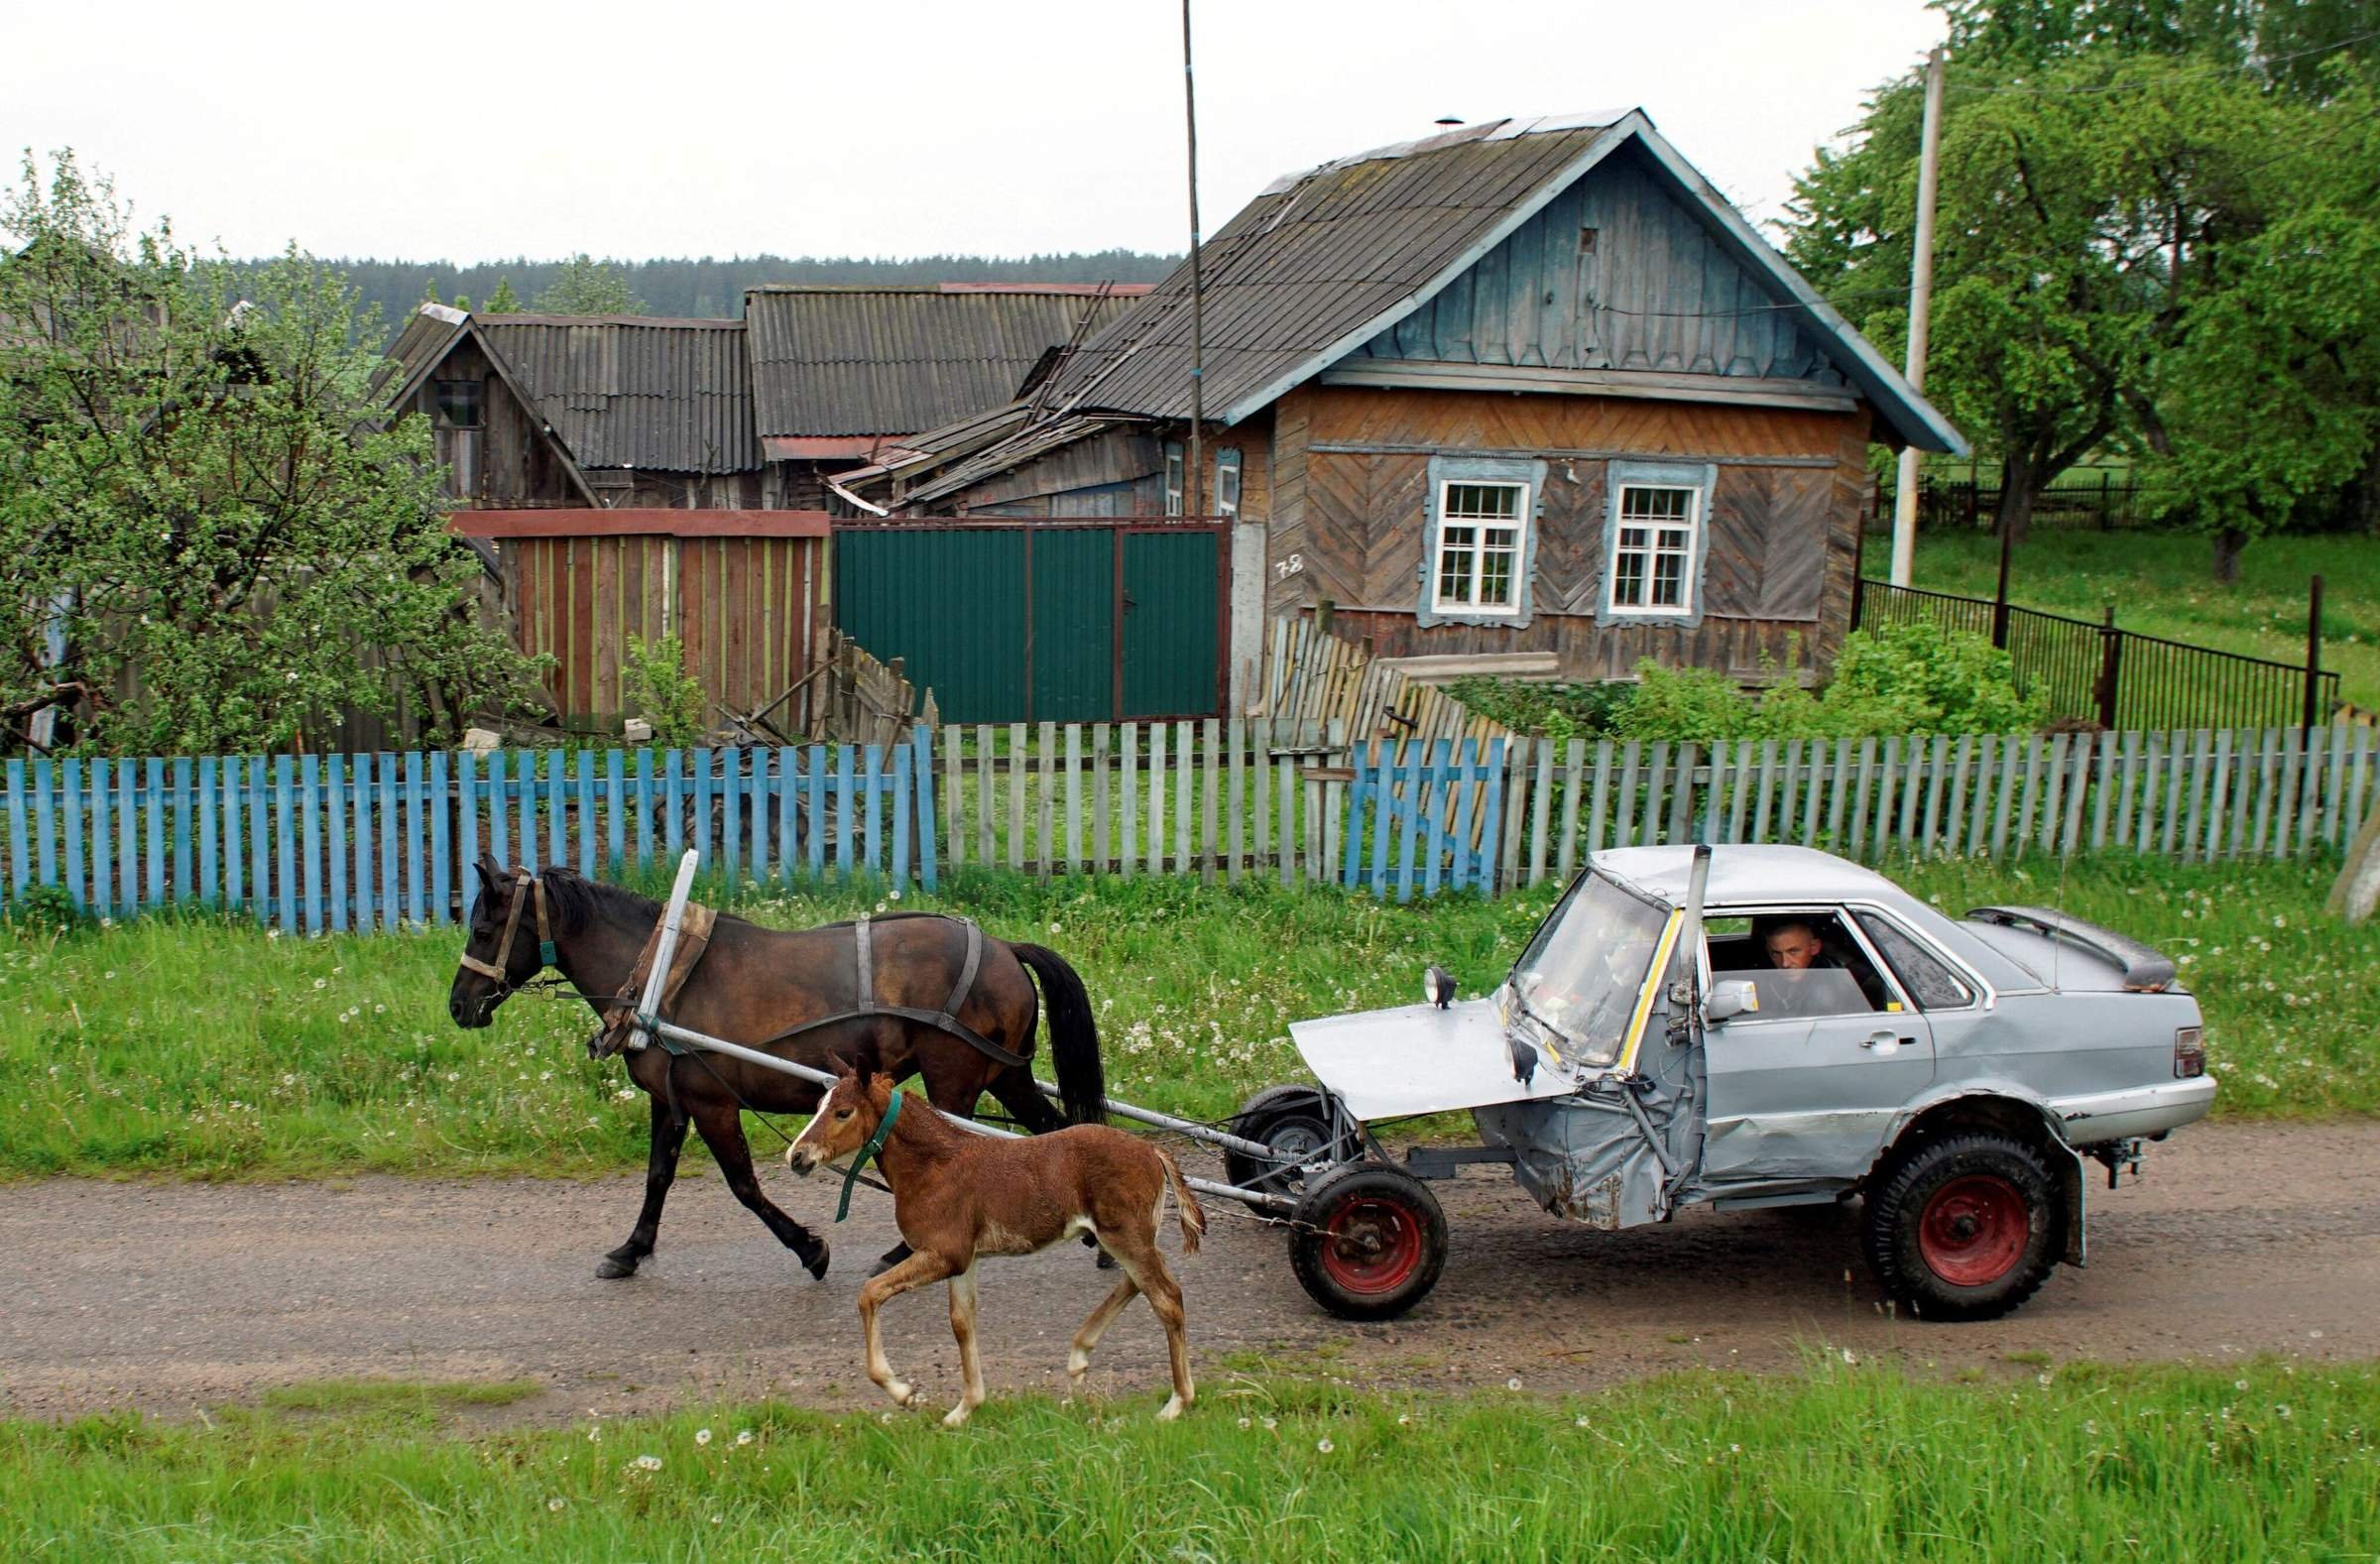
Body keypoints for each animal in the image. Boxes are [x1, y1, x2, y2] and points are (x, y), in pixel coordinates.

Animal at [447, 852, 1104, 1285]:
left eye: (481, 928)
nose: (458, 1006)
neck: (663, 972)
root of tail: (1003, 948)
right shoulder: (671, 1099)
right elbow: (657, 1177)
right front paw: (631, 1251)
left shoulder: (712, 1102)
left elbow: (743, 1185)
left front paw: (810, 1250)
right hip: (1006, 1076)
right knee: (1057, 1131)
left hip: (956, 1080)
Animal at [785, 1056, 1199, 1418]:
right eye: (820, 1105)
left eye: (843, 1112)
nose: (796, 1156)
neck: (932, 1166)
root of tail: (1152, 1150)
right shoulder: (962, 1261)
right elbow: (962, 1323)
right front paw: (964, 1409)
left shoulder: (943, 1254)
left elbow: (870, 1293)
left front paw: (904, 1393)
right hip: (1126, 1237)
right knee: (1139, 1283)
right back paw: (1079, 1356)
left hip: (1125, 1236)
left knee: (1166, 1297)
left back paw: (1177, 1402)